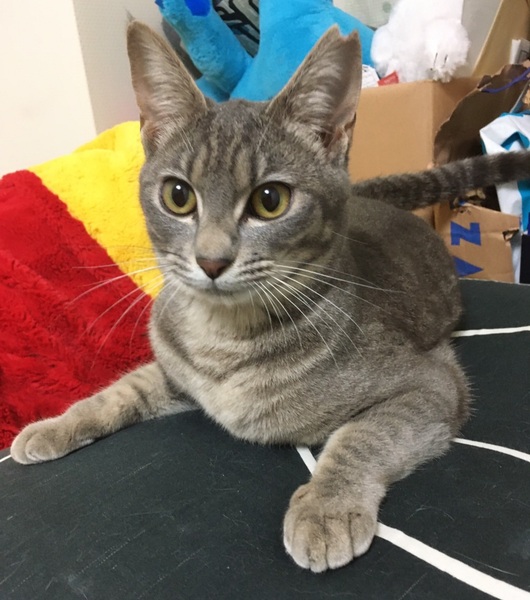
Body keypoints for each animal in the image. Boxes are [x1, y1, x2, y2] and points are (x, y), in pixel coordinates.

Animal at [10, 22, 529, 574]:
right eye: (178, 195)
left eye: (270, 200)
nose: (211, 260)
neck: (223, 339)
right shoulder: (175, 372)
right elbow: (119, 390)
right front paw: (56, 425)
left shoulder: (431, 383)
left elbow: (361, 438)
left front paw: (325, 507)